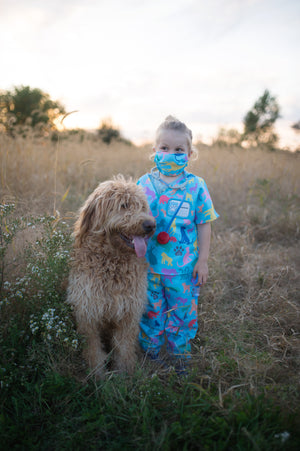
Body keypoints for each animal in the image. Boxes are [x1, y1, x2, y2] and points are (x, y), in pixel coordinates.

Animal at [67, 177, 156, 378]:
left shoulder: (129, 313)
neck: (113, 262)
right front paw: (98, 376)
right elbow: (93, 350)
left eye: (142, 206)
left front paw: (124, 375)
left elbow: (124, 348)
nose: (150, 225)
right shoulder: (88, 313)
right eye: (124, 205)